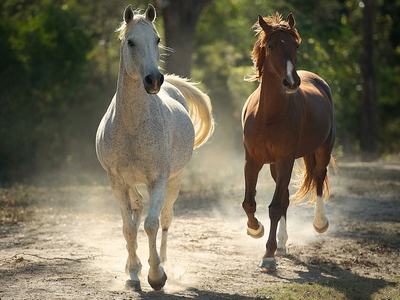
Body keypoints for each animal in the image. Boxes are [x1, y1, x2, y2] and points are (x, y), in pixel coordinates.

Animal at [95, 4, 214, 290]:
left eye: (157, 39)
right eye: (130, 41)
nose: (153, 80)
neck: (132, 126)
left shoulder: (158, 179)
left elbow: (152, 224)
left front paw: (156, 275)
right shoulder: (116, 180)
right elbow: (129, 227)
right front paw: (133, 274)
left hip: (175, 180)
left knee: (166, 219)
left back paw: (165, 263)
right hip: (131, 182)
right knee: (136, 210)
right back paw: (133, 267)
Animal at [242, 12, 336, 272]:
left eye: (296, 46)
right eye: (271, 46)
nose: (291, 82)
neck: (269, 114)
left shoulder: (285, 160)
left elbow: (274, 207)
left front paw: (268, 255)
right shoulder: (252, 161)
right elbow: (250, 203)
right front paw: (255, 229)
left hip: (322, 149)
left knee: (318, 178)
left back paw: (320, 222)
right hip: (275, 166)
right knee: (284, 197)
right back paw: (282, 243)